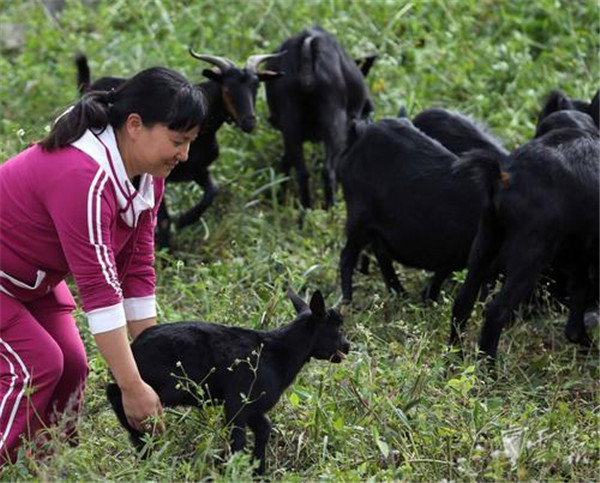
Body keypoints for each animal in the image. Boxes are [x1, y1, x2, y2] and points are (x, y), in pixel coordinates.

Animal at [75, 51, 283, 249]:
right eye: (227, 88)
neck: (203, 135)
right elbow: (163, 218)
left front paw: (184, 220)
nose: (249, 122)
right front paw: (168, 244)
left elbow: (212, 191)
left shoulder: (198, 170)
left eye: (256, 86)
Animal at [106, 289, 350, 475]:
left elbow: (264, 429)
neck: (278, 353)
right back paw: (140, 441)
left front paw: (258, 471)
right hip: (168, 385)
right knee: (118, 393)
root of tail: (134, 347)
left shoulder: (253, 406)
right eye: (337, 329)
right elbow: (239, 439)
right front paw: (230, 471)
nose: (348, 346)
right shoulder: (237, 402)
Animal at [264, 26, 376, 209]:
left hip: (290, 124)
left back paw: (305, 209)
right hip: (334, 124)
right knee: (328, 169)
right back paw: (330, 208)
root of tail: (307, 46)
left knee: (301, 171)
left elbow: (285, 163)